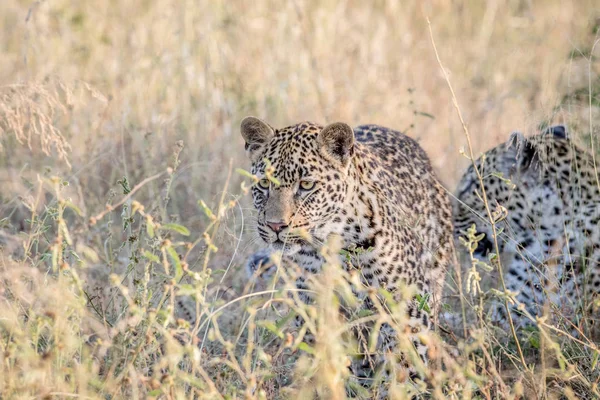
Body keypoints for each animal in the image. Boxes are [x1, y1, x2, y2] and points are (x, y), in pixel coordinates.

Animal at [239, 115, 454, 394]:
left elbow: (406, 362)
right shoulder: (313, 305)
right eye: (264, 183)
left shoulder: (405, 307)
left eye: (306, 185)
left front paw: (402, 390)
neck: (328, 242)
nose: (276, 226)